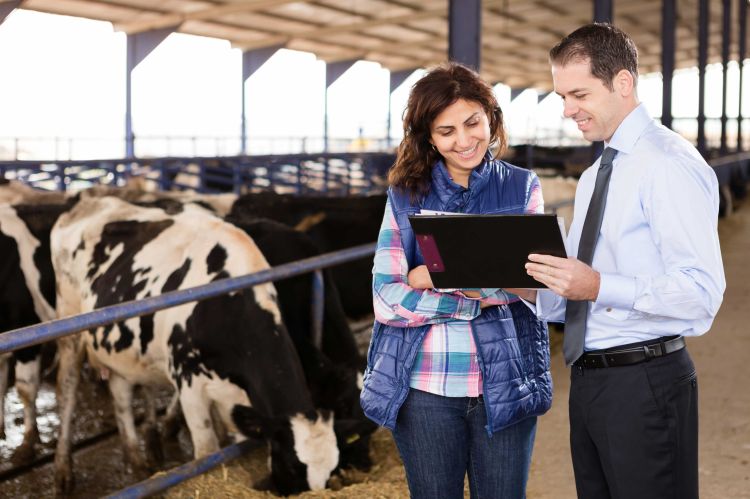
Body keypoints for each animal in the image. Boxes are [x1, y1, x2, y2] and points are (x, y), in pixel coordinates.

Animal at [51, 197, 346, 494]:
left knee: (120, 396)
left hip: (120, 352)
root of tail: (89, 202)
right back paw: (64, 470)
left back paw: (138, 462)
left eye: (331, 469)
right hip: (69, 329)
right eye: (291, 467)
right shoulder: (188, 382)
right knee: (67, 391)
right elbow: (207, 450)